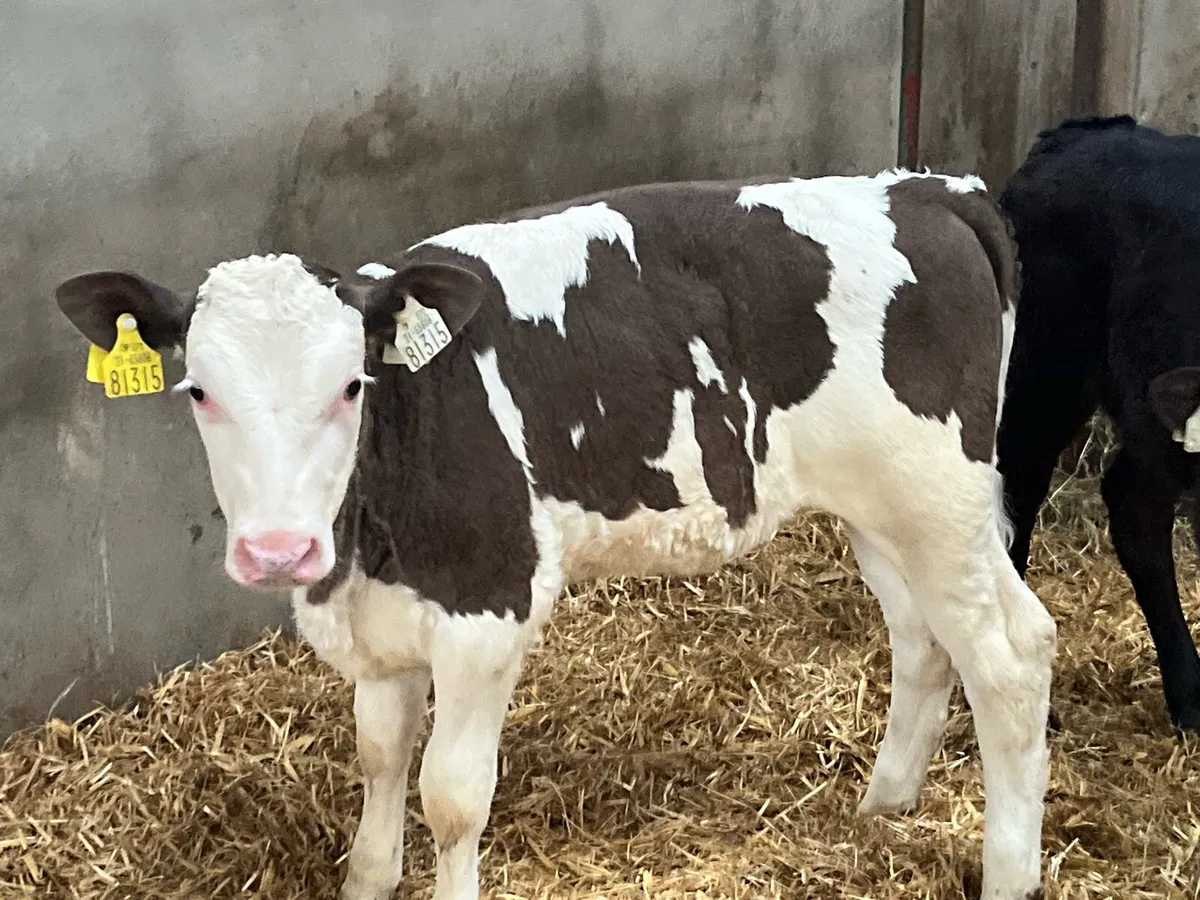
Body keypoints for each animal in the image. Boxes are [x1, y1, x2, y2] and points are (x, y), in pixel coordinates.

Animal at [54, 170, 1056, 900]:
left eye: (350, 385)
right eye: (197, 391)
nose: (278, 551)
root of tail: (929, 189)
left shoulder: (489, 609)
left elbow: (451, 797)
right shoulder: (379, 626)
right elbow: (379, 760)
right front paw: (367, 880)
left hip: (937, 498)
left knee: (1012, 657)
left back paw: (1007, 874)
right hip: (885, 512)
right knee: (928, 640)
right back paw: (881, 806)